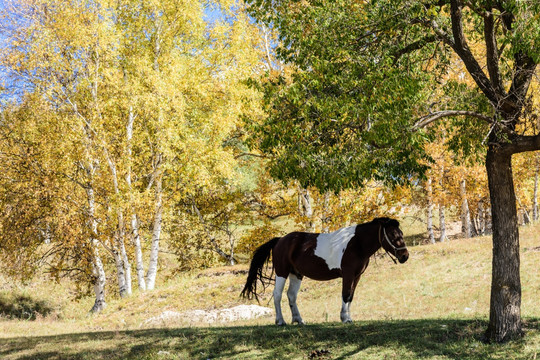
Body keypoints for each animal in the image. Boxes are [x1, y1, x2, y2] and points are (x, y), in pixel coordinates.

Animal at [242, 218, 410, 324]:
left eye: (401, 233)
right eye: (392, 234)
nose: (405, 256)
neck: (356, 244)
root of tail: (280, 240)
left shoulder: (357, 276)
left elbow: (351, 296)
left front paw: (348, 317)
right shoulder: (348, 275)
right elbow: (345, 295)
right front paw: (345, 318)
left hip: (296, 274)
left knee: (291, 296)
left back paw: (298, 320)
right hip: (282, 273)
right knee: (277, 295)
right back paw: (280, 321)